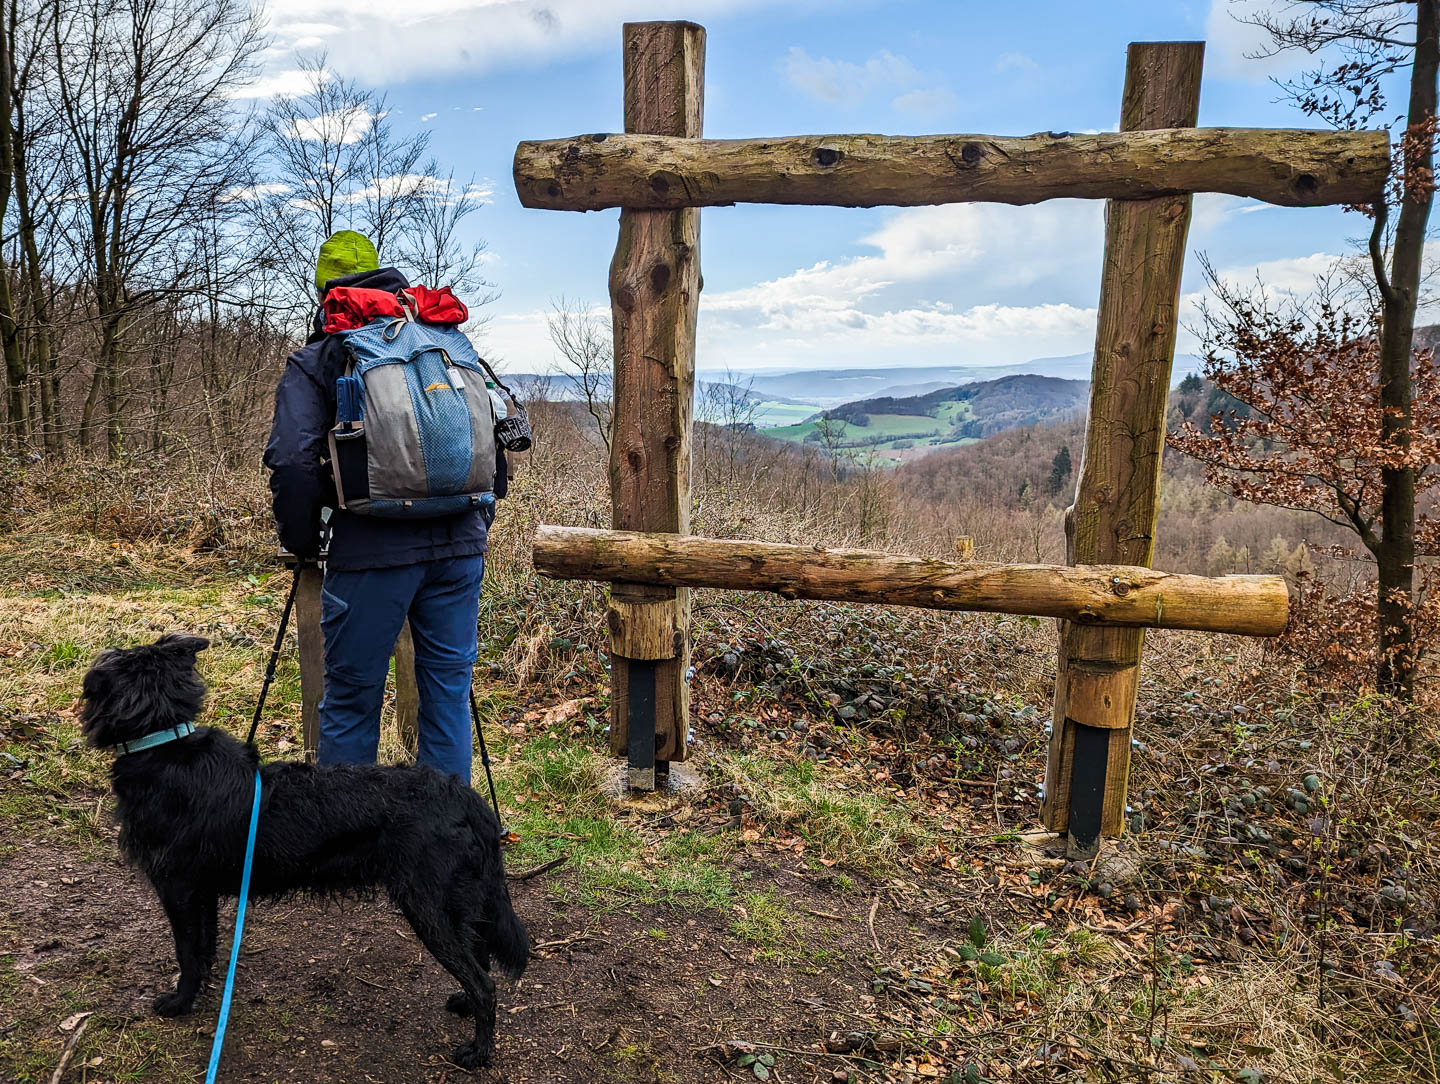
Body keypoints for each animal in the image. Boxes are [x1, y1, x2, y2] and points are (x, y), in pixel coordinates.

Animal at [80, 633, 529, 1065]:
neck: (164, 742)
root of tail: (464, 796)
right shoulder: (202, 893)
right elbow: (204, 949)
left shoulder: (179, 889)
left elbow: (187, 953)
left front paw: (179, 1002)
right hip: (459, 905)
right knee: (479, 959)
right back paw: (464, 1004)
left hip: (430, 908)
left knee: (485, 983)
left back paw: (479, 1053)